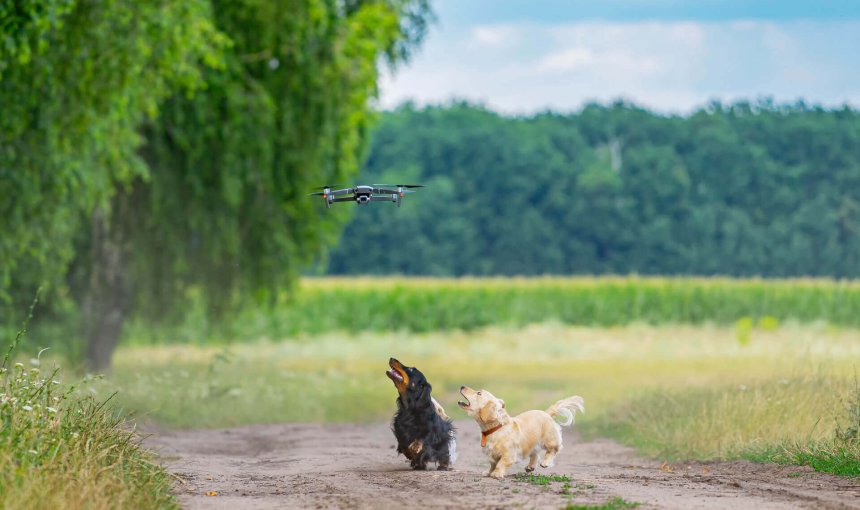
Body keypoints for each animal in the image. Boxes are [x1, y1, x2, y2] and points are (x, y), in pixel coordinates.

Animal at [456, 386, 584, 478]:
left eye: (479, 393)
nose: (462, 386)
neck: (497, 428)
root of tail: (546, 413)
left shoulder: (509, 455)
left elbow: (500, 464)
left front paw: (496, 474)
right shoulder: (492, 456)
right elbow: (492, 464)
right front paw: (488, 472)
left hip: (549, 440)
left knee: (554, 450)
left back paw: (545, 462)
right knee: (535, 454)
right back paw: (530, 467)